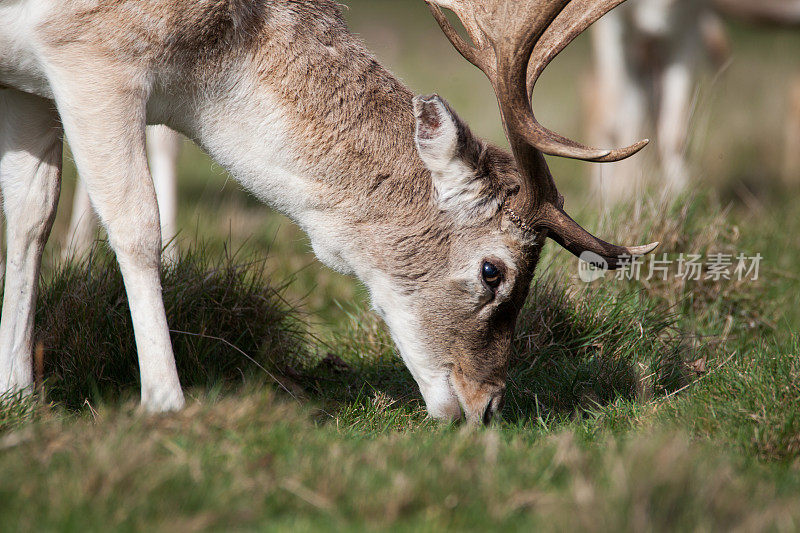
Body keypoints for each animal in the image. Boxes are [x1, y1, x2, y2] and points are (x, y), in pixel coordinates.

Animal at [0, 1, 656, 424]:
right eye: (493, 271)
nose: (487, 405)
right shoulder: (89, 49)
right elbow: (138, 226)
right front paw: (165, 402)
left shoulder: (27, 84)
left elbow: (31, 215)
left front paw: (20, 398)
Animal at [588, 0, 800, 203]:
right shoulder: (611, 26)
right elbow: (615, 115)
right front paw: (616, 197)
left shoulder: (689, 25)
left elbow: (675, 131)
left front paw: (678, 195)